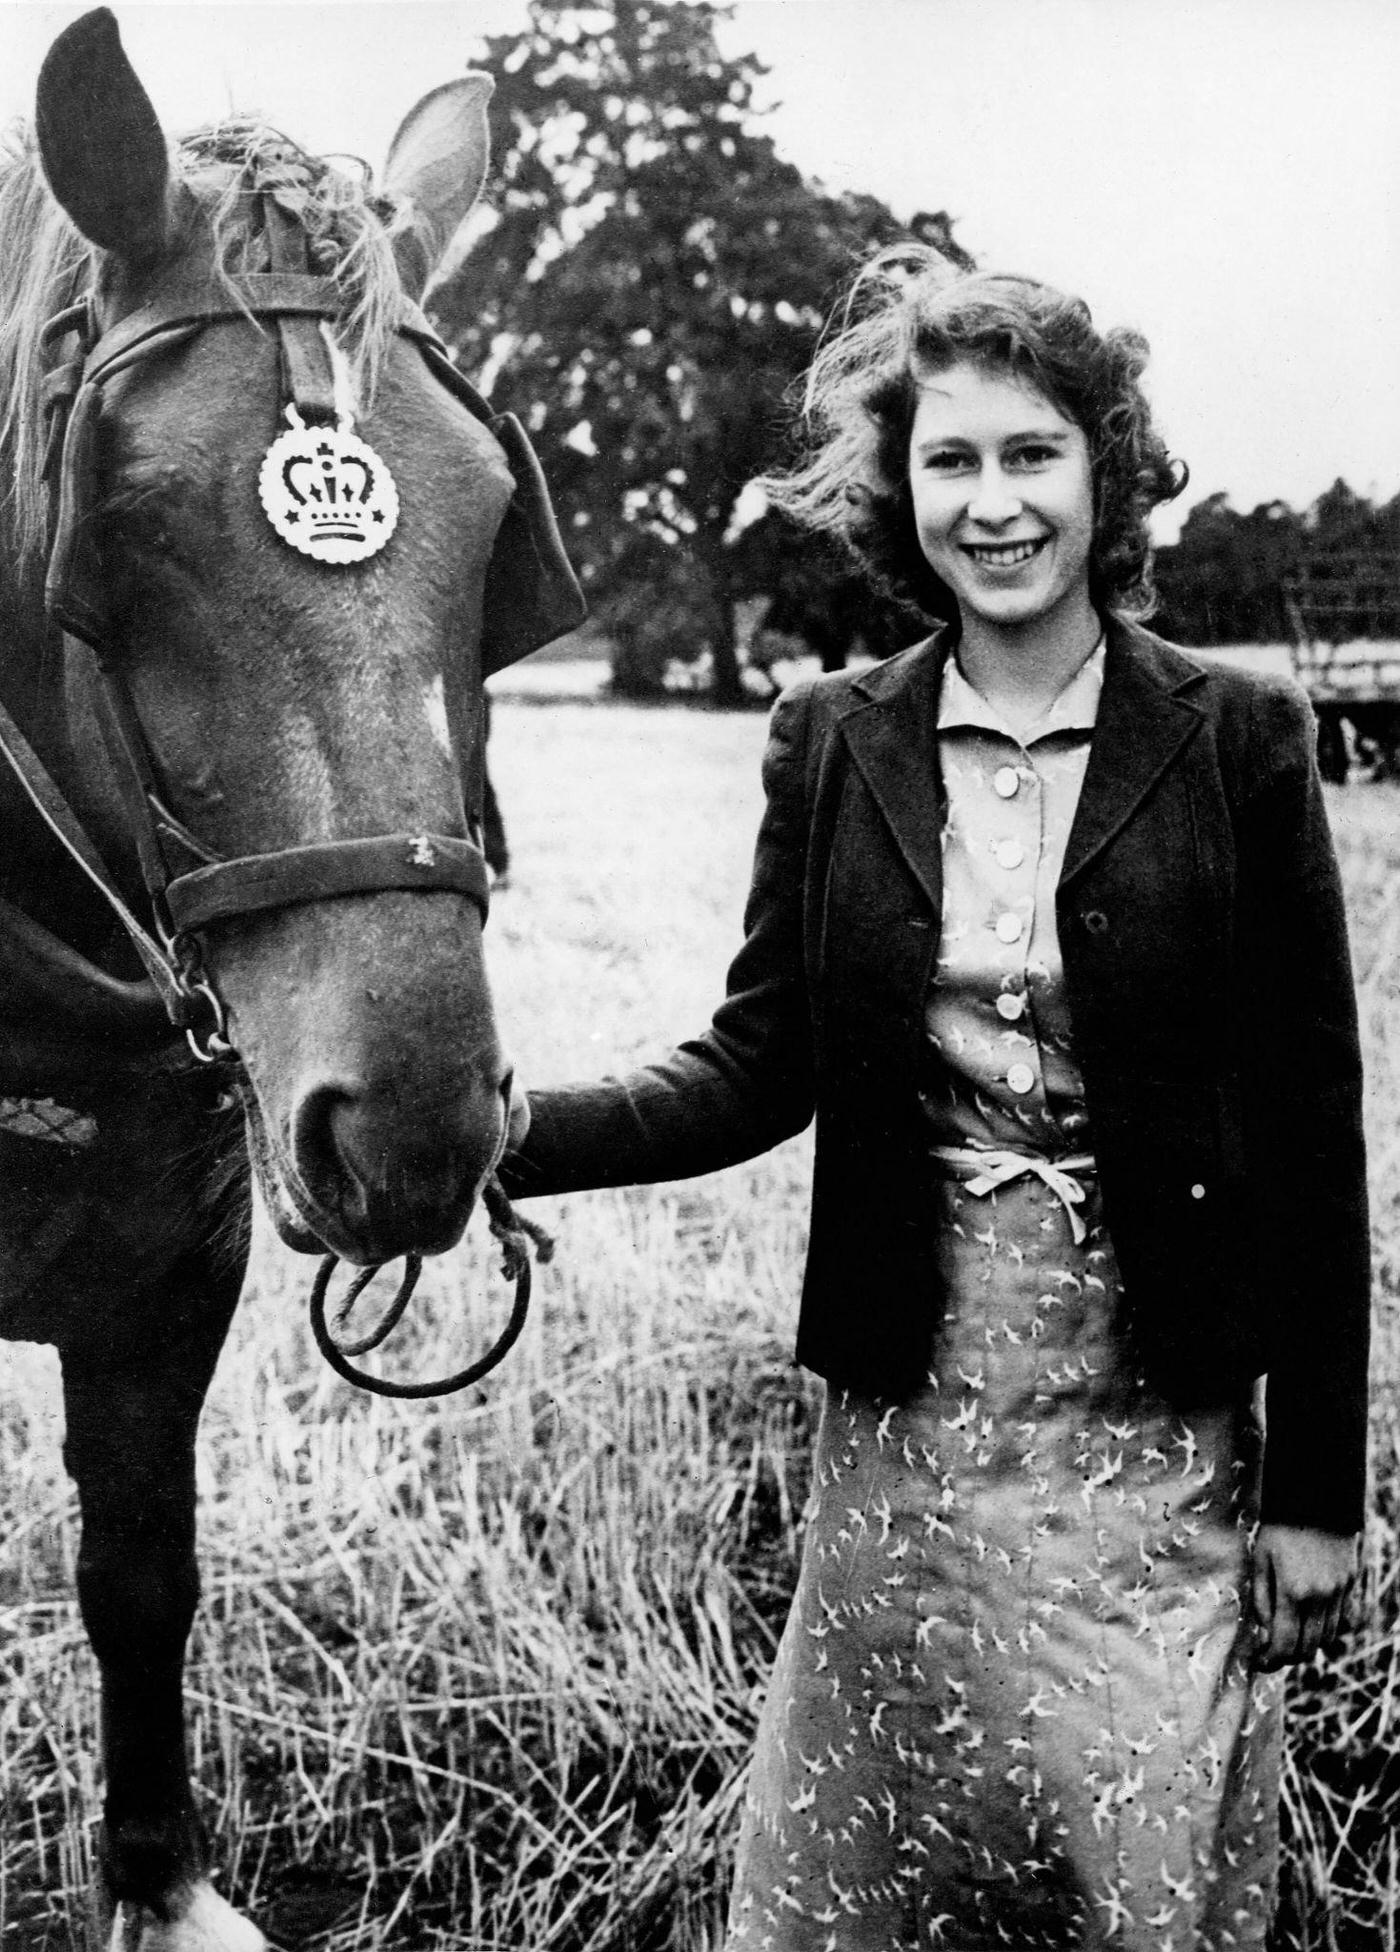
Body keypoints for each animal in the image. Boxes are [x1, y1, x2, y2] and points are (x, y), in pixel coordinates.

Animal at [0, 7, 581, 1944]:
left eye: (494, 524)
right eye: (127, 527)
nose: (410, 1131)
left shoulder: (172, 1267)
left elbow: (142, 1568)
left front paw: (160, 1886)